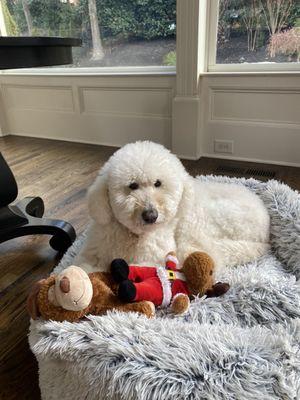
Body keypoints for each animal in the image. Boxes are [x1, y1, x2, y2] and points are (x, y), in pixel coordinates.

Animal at [75, 141, 270, 276]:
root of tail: (266, 230)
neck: (134, 235)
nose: (150, 215)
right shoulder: (93, 251)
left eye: (158, 183)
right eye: (132, 185)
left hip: (201, 223)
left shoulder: (157, 257)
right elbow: (80, 267)